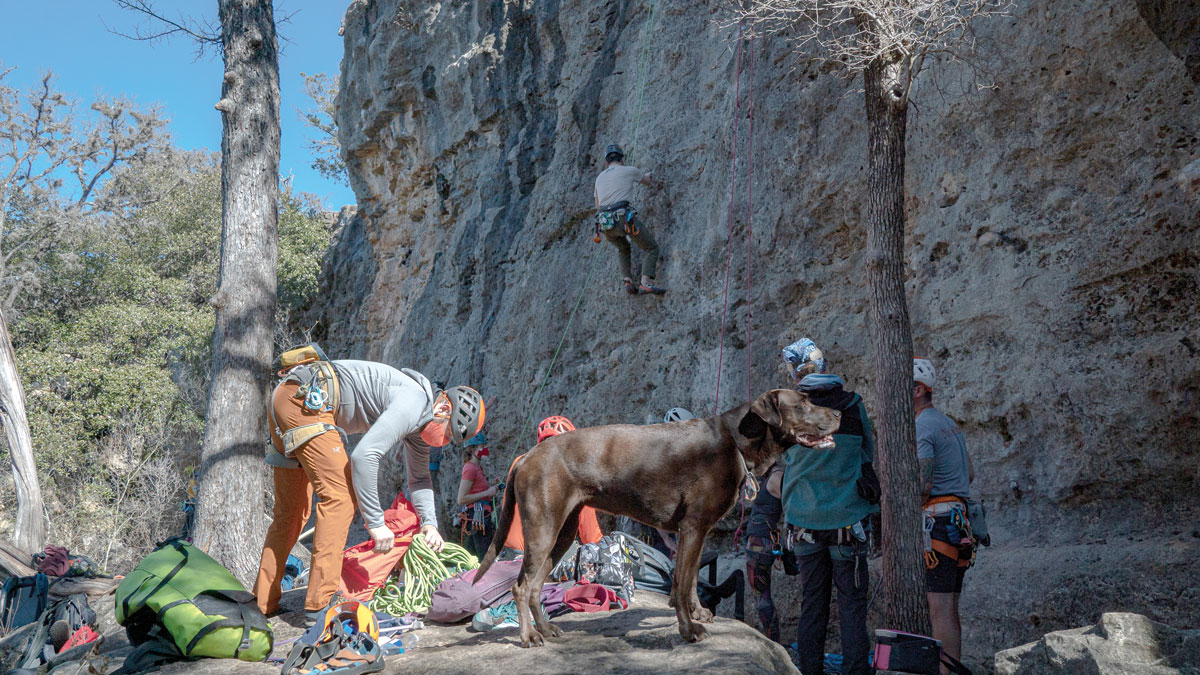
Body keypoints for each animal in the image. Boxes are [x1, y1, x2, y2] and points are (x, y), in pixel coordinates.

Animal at [472, 389, 840, 648]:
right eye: (803, 402)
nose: (838, 412)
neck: (734, 440)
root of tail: (526, 457)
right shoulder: (693, 527)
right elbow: (680, 584)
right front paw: (689, 630)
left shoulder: (697, 531)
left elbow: (690, 580)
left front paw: (698, 613)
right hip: (543, 528)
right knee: (521, 586)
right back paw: (529, 637)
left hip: (562, 532)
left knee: (535, 586)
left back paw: (547, 629)